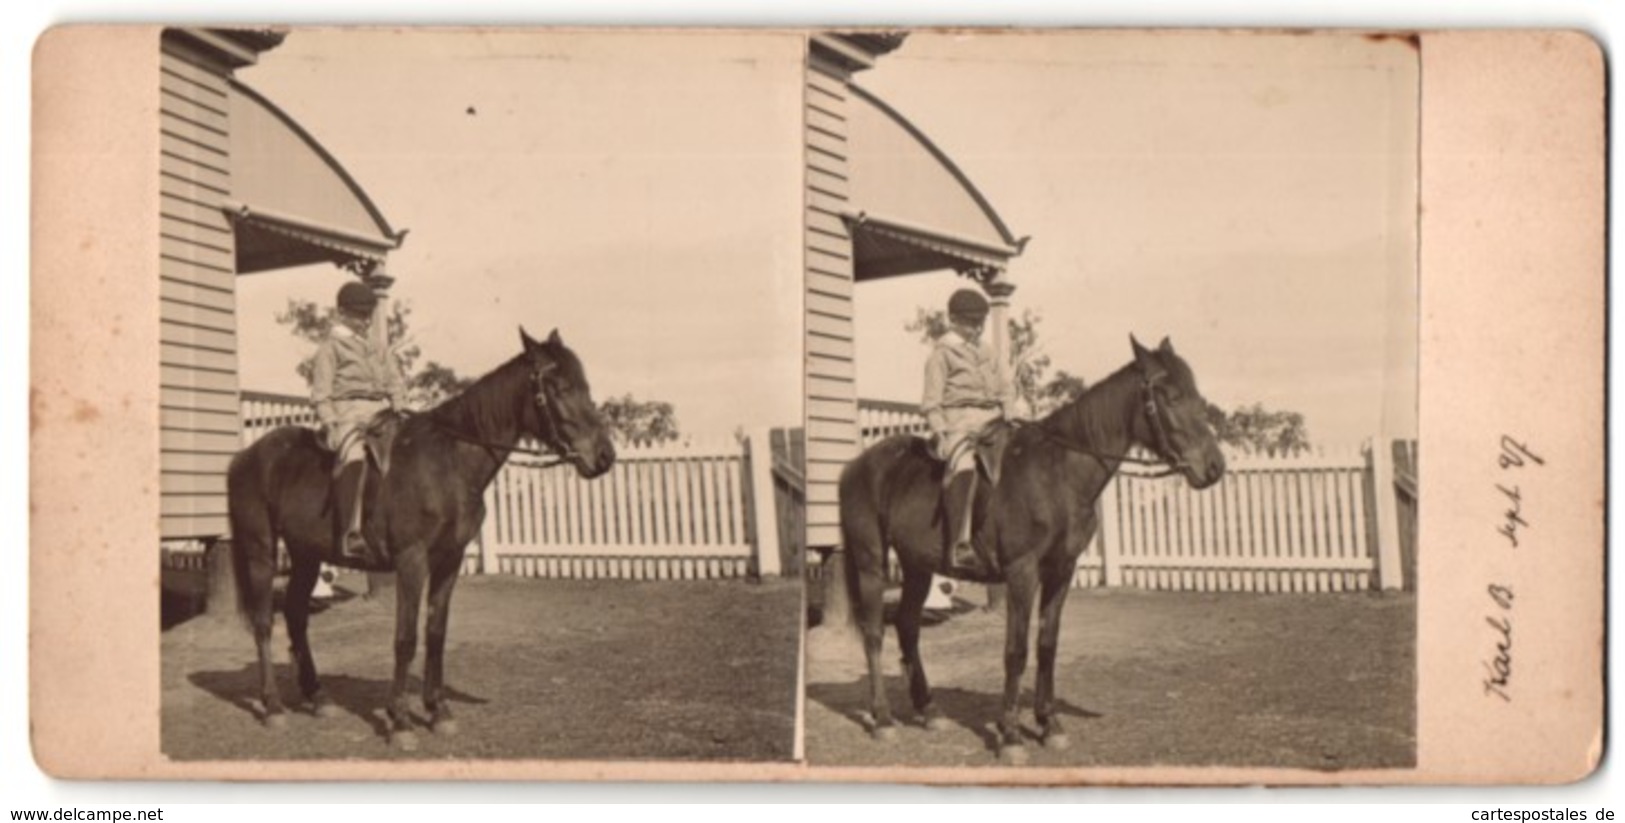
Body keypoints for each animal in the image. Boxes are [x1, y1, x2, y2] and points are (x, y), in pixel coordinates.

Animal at [225, 326, 611, 744]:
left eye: (584, 385)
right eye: (558, 386)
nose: (604, 456)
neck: (448, 463)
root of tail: (245, 456)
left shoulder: (449, 561)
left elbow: (436, 632)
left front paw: (437, 711)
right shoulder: (412, 561)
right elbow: (406, 638)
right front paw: (401, 721)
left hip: (307, 555)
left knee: (296, 614)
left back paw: (318, 697)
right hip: (261, 551)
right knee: (265, 622)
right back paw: (274, 706)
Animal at [838, 338, 1222, 761]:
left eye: (1195, 394)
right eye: (1170, 396)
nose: (1214, 467)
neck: (1057, 475)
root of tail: (856, 465)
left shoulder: (1061, 572)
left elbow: (1047, 644)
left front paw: (1048, 724)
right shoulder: (1022, 574)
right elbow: (1016, 650)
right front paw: (1010, 735)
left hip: (918, 567)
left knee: (907, 625)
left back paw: (929, 710)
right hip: (871, 563)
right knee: (875, 632)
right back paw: (883, 718)